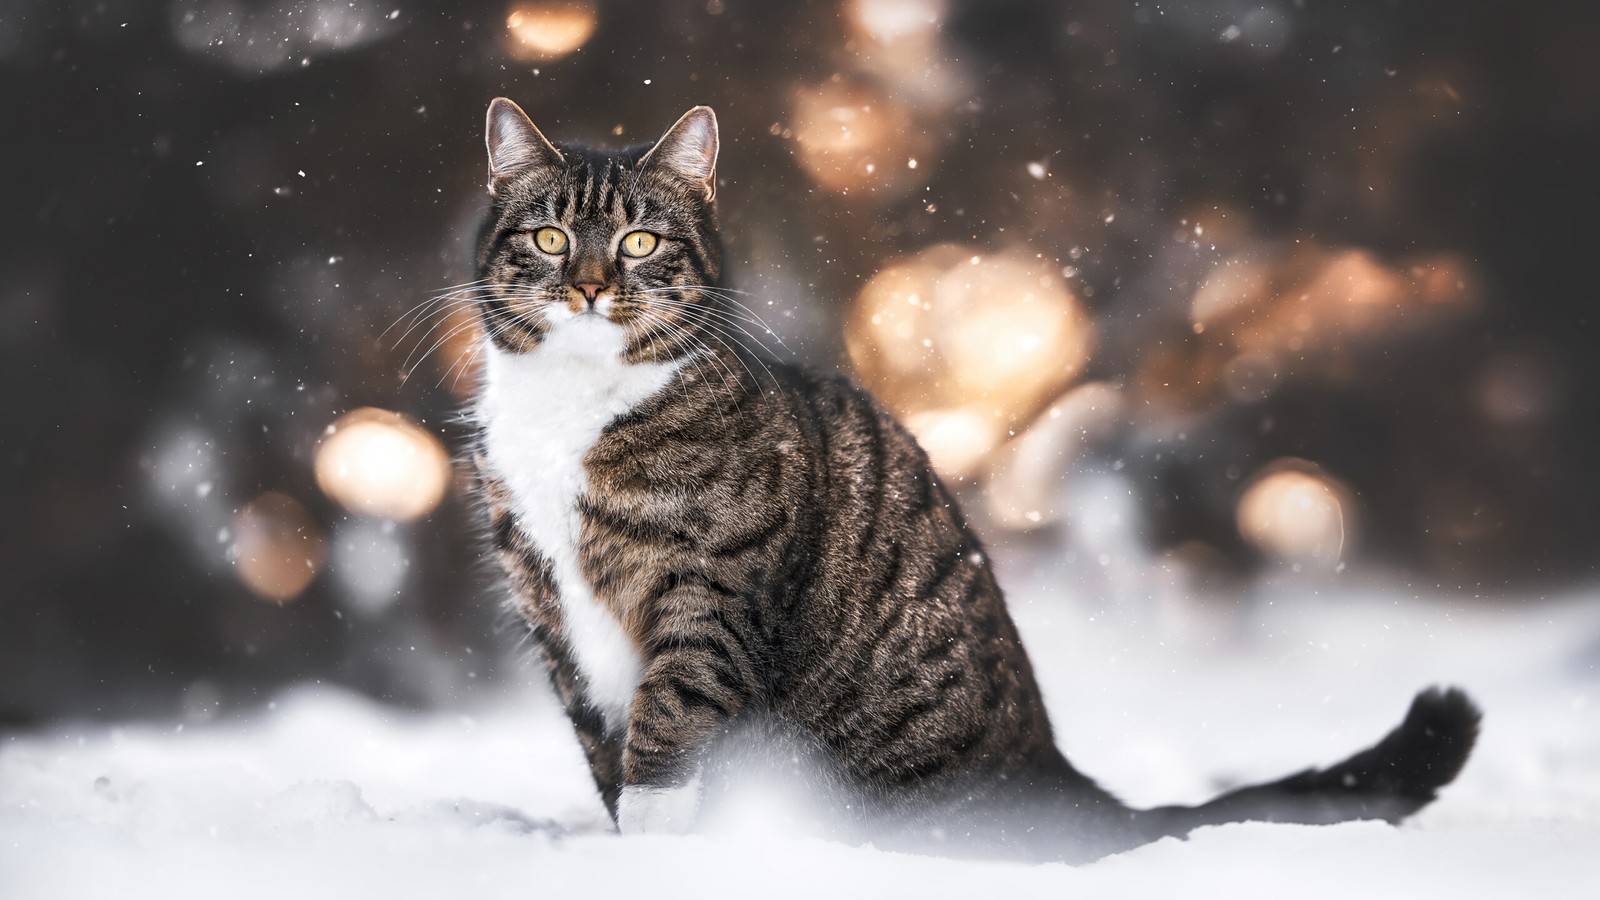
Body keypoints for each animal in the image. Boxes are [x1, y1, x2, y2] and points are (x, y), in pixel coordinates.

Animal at [460, 98, 1472, 864]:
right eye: (550, 236)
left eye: (638, 241)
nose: (590, 284)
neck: (570, 412)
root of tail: (1061, 780)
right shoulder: (551, 614)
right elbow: (603, 742)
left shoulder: (712, 585)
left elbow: (668, 722)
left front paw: (652, 856)